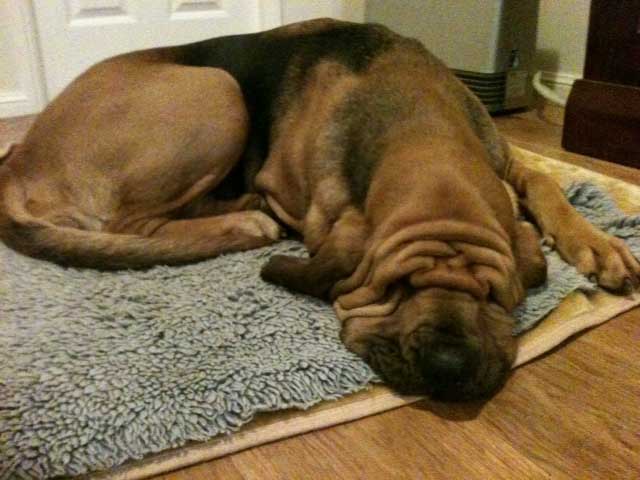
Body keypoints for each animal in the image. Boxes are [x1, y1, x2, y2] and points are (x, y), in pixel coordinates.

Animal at [1, 19, 638, 400]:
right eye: (395, 287)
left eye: (493, 296)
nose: (448, 367)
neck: (420, 123)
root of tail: (17, 159)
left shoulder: (505, 160)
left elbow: (546, 182)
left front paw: (596, 243)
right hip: (217, 88)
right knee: (134, 226)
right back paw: (246, 218)